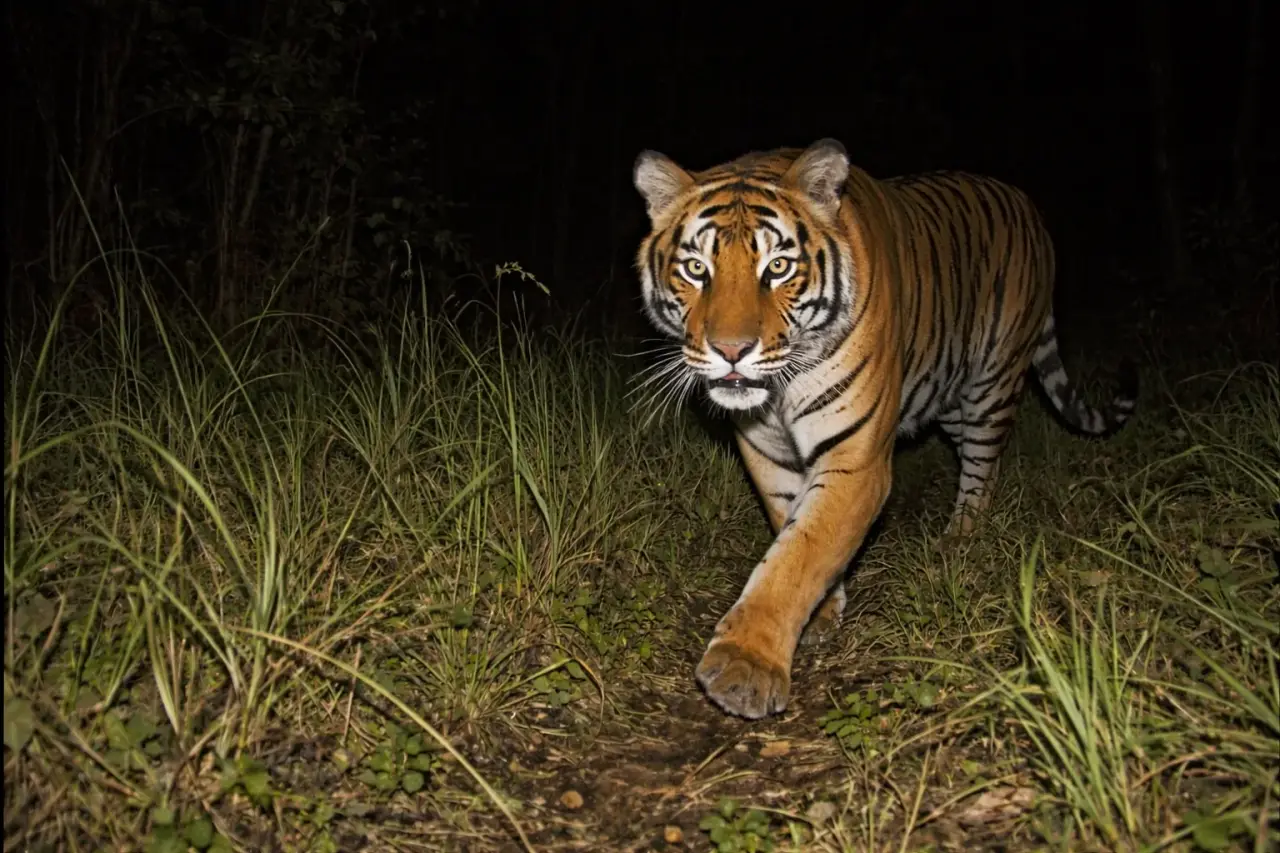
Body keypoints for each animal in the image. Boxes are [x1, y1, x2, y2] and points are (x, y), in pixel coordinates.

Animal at [632, 139, 1137, 719]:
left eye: (778, 267)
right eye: (696, 268)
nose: (731, 351)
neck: (777, 395)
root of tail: (1023, 201)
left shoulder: (856, 462)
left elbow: (801, 553)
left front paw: (745, 666)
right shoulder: (768, 455)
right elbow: (790, 527)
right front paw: (822, 611)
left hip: (992, 383)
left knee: (983, 468)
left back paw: (959, 540)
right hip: (948, 393)